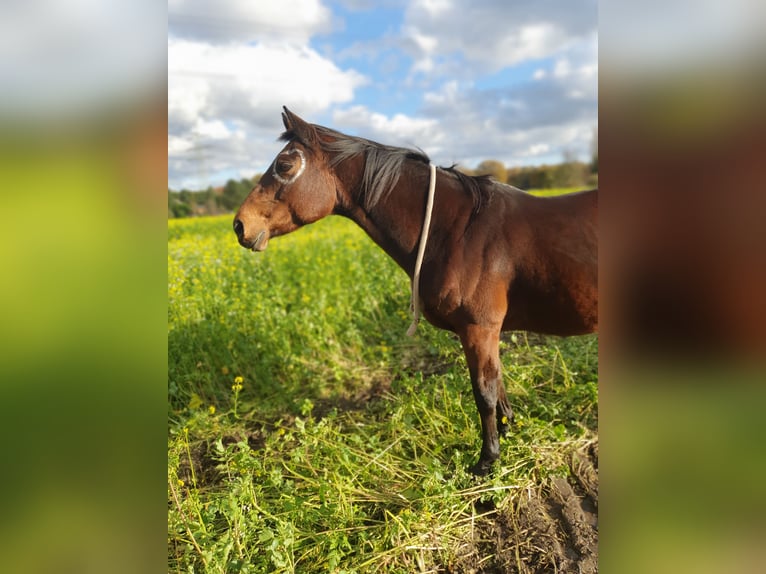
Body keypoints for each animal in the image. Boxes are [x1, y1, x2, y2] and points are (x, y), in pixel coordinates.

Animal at [234, 107, 598, 475]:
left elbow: (485, 392)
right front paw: (509, 434)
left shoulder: (478, 329)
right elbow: (499, 386)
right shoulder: (488, 332)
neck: (458, 231)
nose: (240, 225)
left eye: (284, 166)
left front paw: (487, 459)